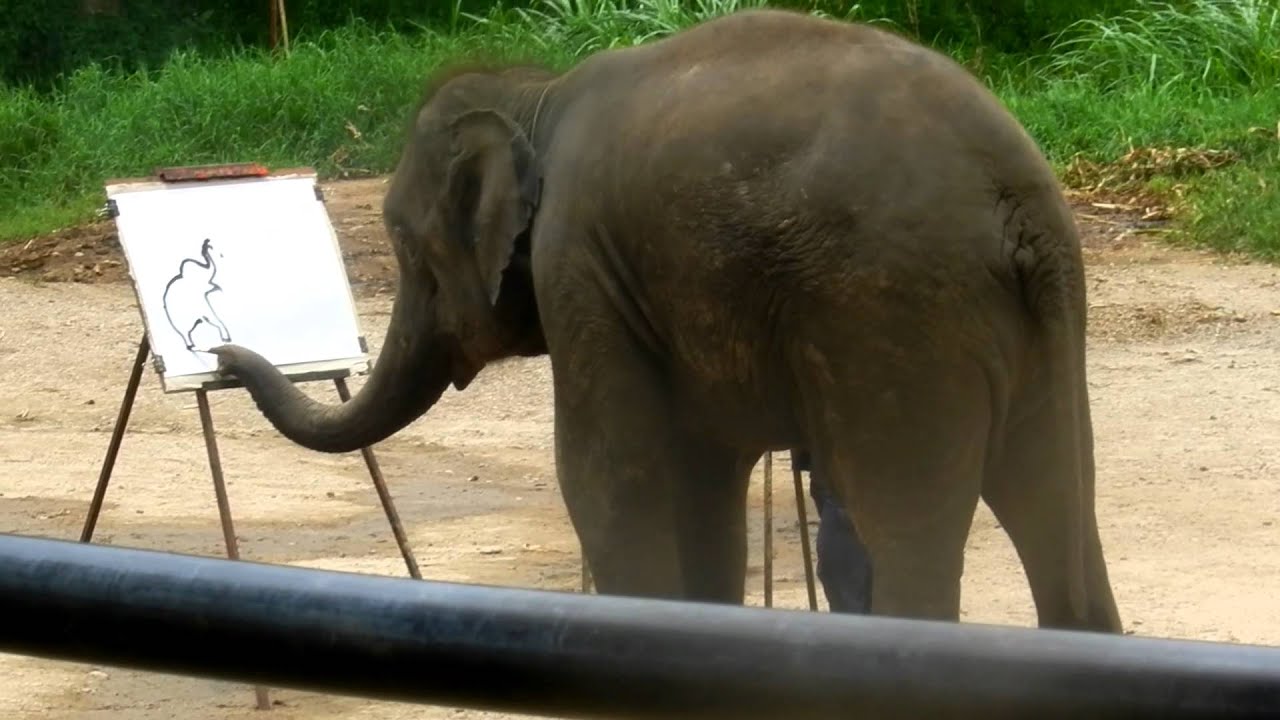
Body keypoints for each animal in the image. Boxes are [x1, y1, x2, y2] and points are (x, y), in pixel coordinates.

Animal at [210, 8, 1123, 632]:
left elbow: (610, 479)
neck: (535, 97)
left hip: (897, 318)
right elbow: (702, 485)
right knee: (1055, 508)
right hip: (1028, 321)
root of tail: (1015, 200)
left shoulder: (579, 264)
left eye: (402, 242)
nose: (218, 353)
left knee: (907, 527)